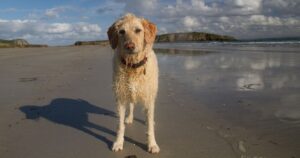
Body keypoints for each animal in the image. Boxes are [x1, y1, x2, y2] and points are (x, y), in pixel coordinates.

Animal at [107, 12, 161, 154]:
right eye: (121, 32)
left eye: (138, 30)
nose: (129, 46)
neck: (133, 66)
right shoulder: (120, 97)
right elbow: (120, 126)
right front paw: (118, 143)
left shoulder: (149, 98)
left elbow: (149, 127)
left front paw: (152, 144)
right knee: (131, 105)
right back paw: (129, 118)